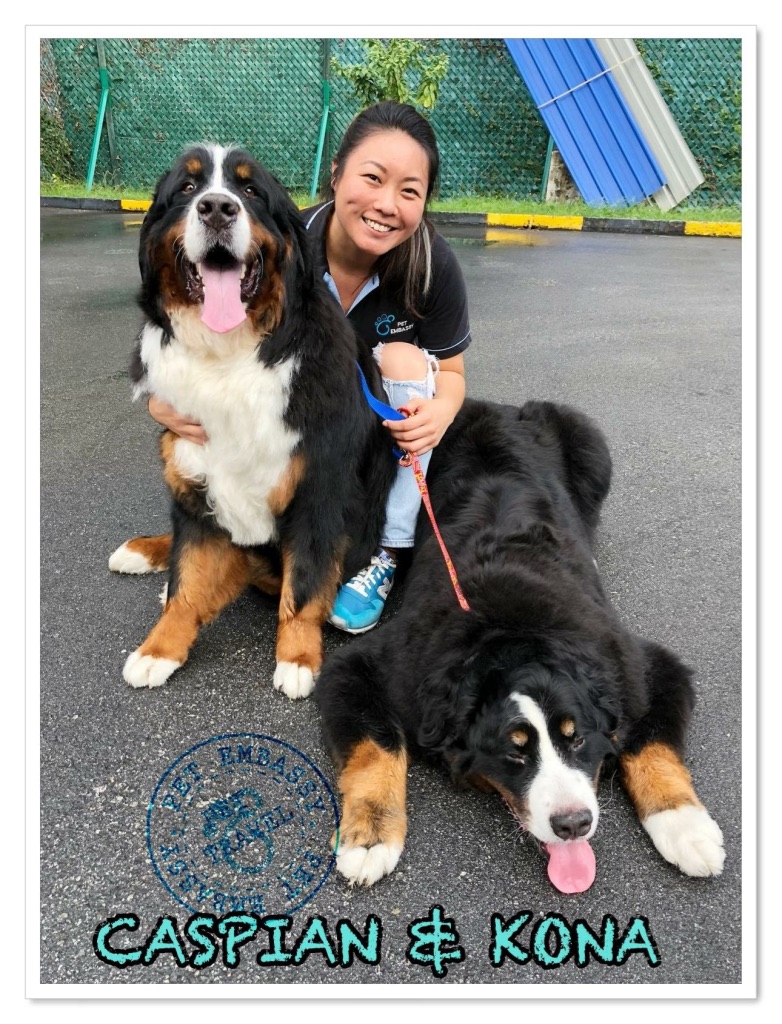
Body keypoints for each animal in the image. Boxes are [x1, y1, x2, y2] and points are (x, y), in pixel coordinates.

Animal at [315, 398, 725, 890]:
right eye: (514, 750)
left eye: (577, 738)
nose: (573, 824)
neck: (514, 631)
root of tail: (498, 406)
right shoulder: (376, 666)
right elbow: (375, 747)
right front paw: (370, 837)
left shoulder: (637, 667)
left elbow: (653, 747)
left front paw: (685, 826)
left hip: (590, 444)